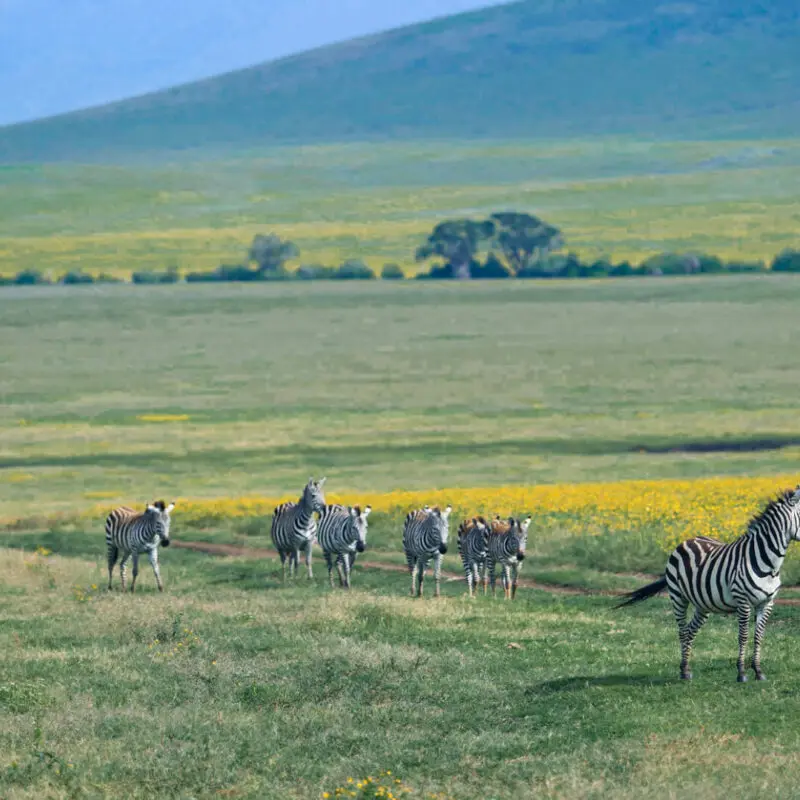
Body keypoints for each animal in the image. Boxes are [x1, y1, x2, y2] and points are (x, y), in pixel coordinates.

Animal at [615, 485, 800, 682]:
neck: (768, 563)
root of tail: (689, 539)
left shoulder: (766, 603)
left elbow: (758, 636)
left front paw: (758, 671)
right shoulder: (743, 602)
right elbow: (743, 636)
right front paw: (741, 673)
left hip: (703, 604)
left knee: (690, 631)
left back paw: (687, 668)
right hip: (678, 597)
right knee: (682, 631)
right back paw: (684, 671)